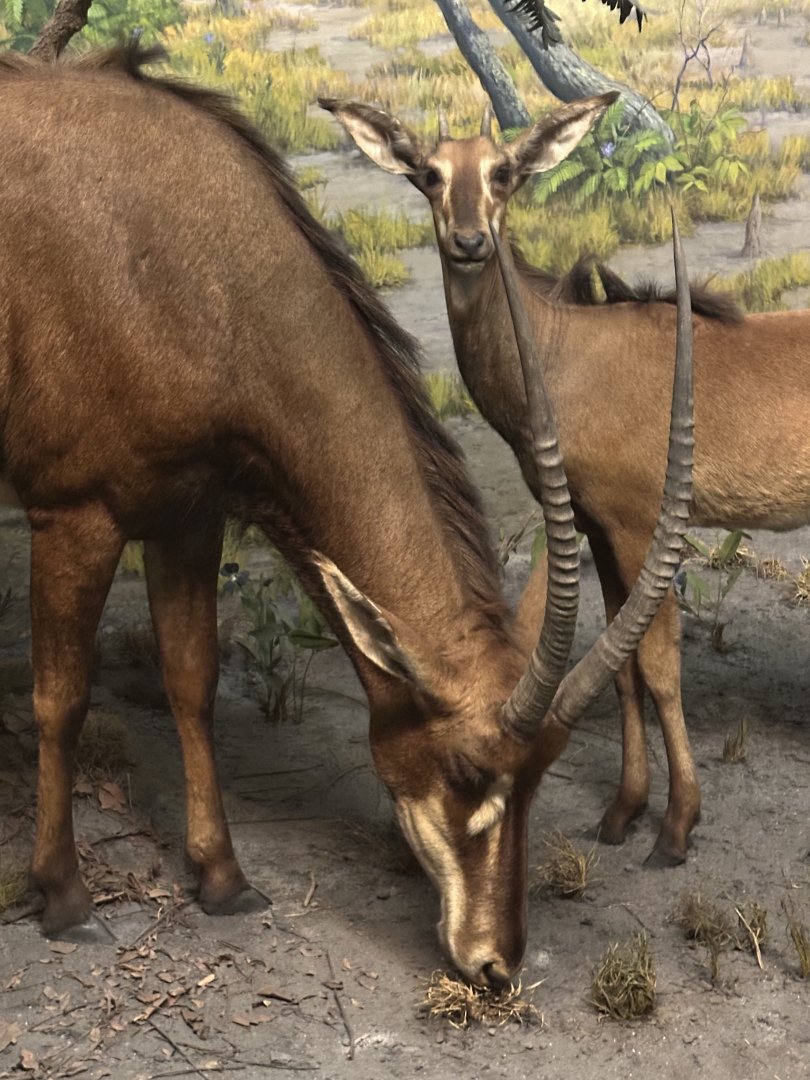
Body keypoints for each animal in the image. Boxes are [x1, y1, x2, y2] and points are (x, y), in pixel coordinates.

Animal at [0, 47, 692, 987]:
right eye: (468, 766)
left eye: (544, 770)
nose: (495, 965)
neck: (185, 264)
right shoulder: (77, 516)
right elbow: (61, 699)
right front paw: (65, 898)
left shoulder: (189, 514)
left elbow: (193, 680)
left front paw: (223, 878)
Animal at [322, 91, 810, 866]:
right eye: (429, 174)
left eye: (503, 172)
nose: (470, 243)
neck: (565, 349)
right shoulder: (596, 528)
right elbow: (624, 667)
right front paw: (624, 811)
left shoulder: (640, 526)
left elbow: (658, 665)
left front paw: (677, 827)